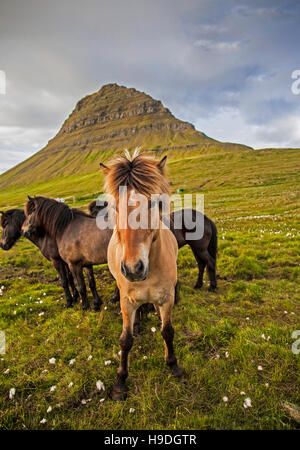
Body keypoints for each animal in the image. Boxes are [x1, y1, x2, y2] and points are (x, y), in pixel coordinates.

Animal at [100, 152, 183, 400]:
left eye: (154, 202)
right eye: (114, 206)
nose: (133, 268)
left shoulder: (167, 299)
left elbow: (167, 331)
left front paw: (173, 365)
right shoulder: (127, 302)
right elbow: (125, 340)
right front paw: (120, 381)